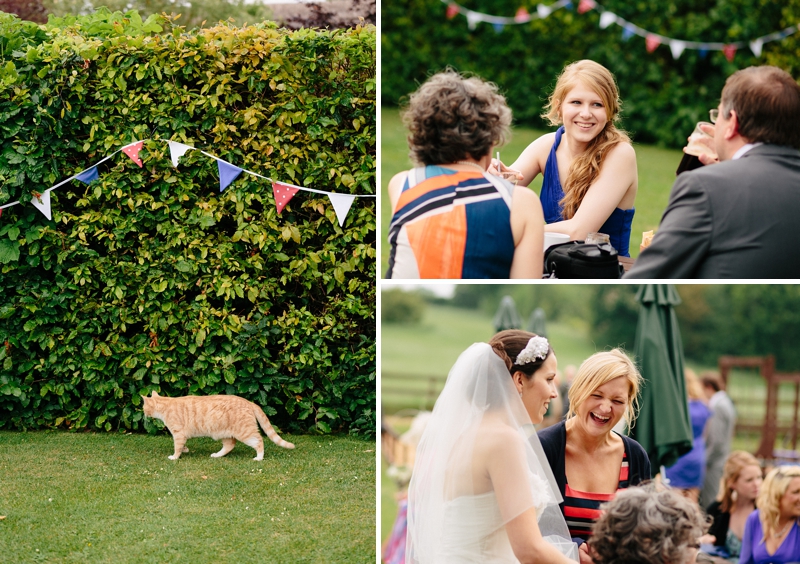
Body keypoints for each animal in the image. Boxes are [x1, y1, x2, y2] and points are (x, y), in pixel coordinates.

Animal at [142, 392, 296, 458]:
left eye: (144, 407)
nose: (143, 413)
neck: (166, 405)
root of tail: (248, 401)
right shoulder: (182, 435)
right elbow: (182, 445)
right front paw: (185, 450)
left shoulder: (178, 433)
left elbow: (177, 447)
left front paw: (175, 457)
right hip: (224, 433)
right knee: (230, 446)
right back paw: (217, 455)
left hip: (245, 433)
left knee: (259, 441)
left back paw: (259, 457)